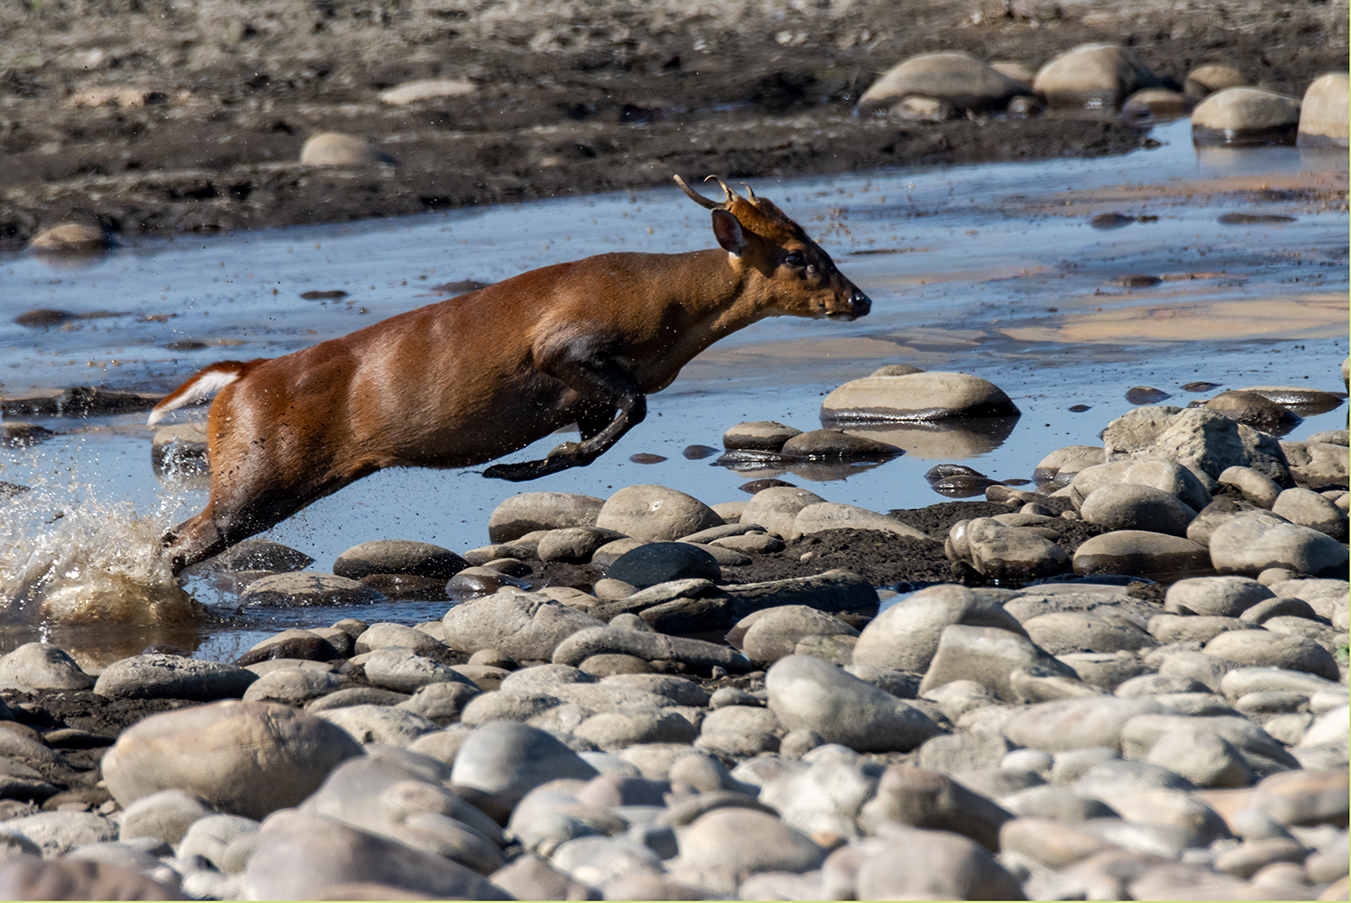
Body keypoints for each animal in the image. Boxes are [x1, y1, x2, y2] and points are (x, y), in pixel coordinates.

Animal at [145, 173, 864, 575]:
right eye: (797, 255)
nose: (859, 299)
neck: (670, 313)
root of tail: (238, 377)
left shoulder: (586, 392)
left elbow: (612, 425)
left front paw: (523, 467)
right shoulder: (564, 347)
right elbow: (632, 409)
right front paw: (521, 466)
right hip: (258, 468)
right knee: (181, 538)